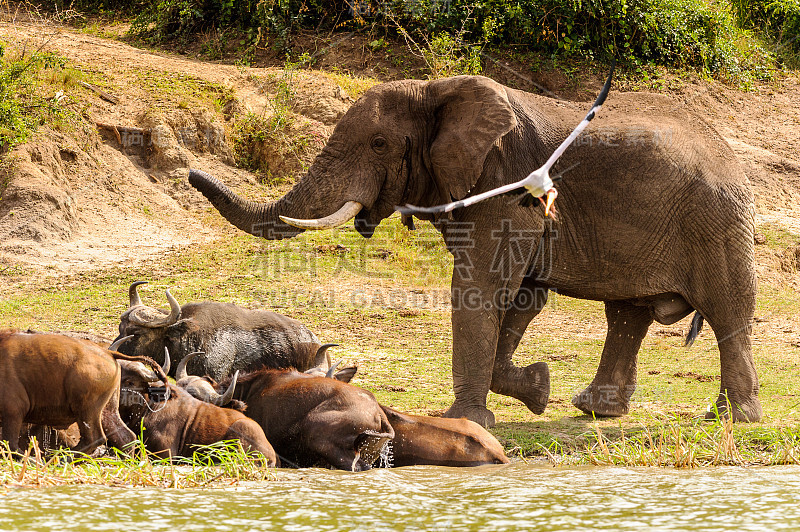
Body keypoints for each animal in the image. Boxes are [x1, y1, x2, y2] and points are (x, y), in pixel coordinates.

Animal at [0, 330, 166, 456]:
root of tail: (108, 352)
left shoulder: (12, 413)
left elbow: (11, 445)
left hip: (87, 411)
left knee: (94, 438)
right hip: (107, 411)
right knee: (126, 437)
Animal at [189, 74, 764, 428]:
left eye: (378, 144)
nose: (192, 173)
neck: (436, 90)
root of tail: (730, 153)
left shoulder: (505, 186)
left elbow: (481, 288)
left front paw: (463, 420)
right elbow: (521, 296)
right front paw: (537, 389)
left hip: (715, 221)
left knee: (727, 312)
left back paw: (735, 418)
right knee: (627, 315)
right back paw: (598, 410)